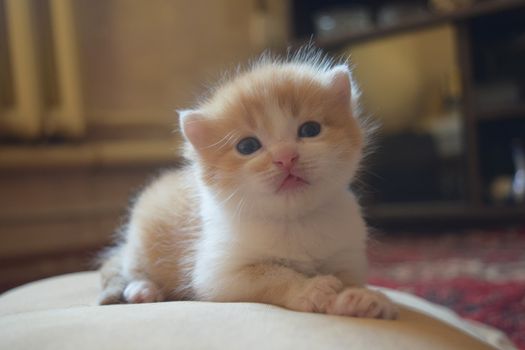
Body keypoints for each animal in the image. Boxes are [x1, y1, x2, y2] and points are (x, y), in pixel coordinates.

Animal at [99, 49, 398, 320]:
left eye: (310, 130)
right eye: (247, 146)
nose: (286, 157)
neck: (294, 220)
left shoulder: (347, 256)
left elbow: (347, 278)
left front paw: (360, 298)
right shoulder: (219, 271)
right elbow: (272, 275)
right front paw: (310, 288)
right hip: (141, 238)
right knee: (127, 266)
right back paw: (142, 289)